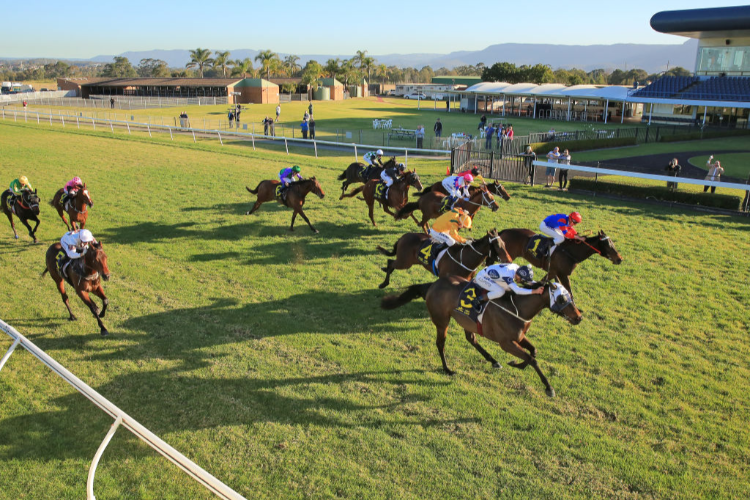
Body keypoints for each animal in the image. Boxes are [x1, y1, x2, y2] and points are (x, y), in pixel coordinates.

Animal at [378, 228, 516, 290]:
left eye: (504, 244)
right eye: (498, 246)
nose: (509, 260)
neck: (464, 259)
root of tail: (403, 236)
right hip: (404, 262)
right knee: (390, 263)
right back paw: (384, 283)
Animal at [384, 278, 584, 398]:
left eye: (570, 296)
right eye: (561, 299)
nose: (578, 317)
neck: (517, 308)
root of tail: (433, 284)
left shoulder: (519, 337)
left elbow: (533, 352)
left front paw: (515, 364)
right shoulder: (506, 343)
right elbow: (531, 358)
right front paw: (549, 387)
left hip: (467, 322)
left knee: (471, 338)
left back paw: (493, 361)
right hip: (442, 321)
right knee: (440, 343)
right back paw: (447, 369)